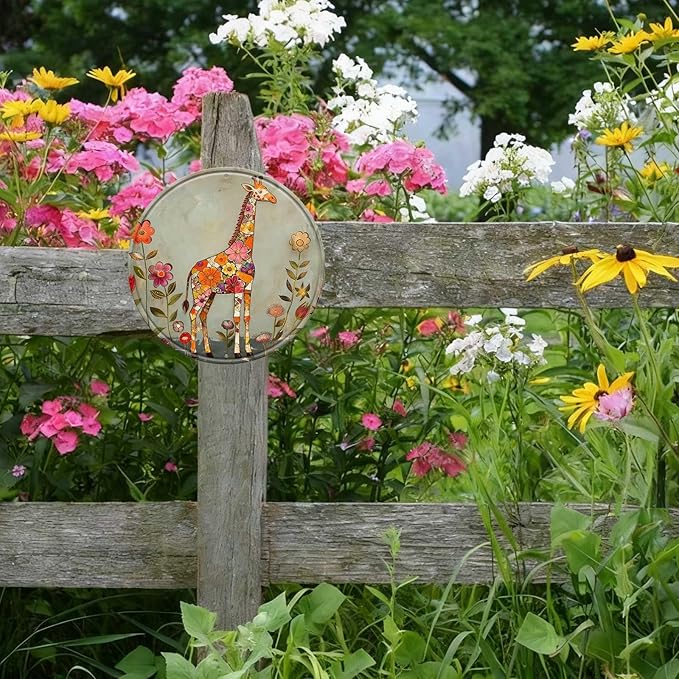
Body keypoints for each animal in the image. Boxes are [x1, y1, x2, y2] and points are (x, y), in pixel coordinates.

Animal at [182, 177, 277, 357]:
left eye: (267, 189)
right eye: (260, 192)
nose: (274, 199)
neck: (243, 251)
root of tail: (191, 270)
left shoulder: (248, 287)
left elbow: (246, 317)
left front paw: (248, 351)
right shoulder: (238, 287)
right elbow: (236, 318)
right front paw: (238, 353)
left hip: (211, 294)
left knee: (203, 315)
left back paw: (209, 352)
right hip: (200, 293)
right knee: (193, 313)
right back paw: (193, 350)